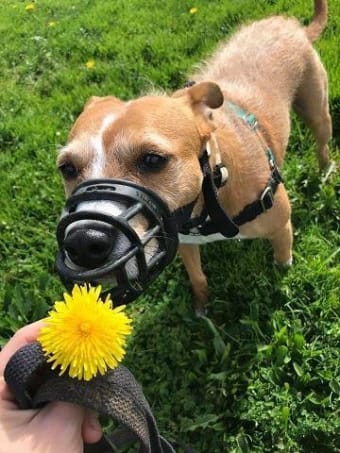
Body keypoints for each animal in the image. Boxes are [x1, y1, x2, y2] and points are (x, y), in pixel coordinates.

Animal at [57, 0, 330, 312]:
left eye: (152, 160)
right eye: (67, 168)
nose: (82, 242)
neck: (211, 199)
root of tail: (293, 25)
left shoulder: (281, 227)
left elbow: (282, 259)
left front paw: (281, 280)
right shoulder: (184, 243)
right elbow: (198, 278)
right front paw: (202, 306)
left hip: (318, 113)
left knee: (322, 145)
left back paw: (325, 171)